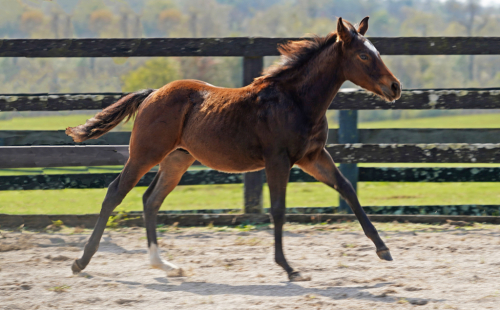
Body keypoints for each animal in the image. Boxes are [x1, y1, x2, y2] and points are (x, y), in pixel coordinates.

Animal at [66, 17, 402, 284]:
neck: (296, 101)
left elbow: (347, 189)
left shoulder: (312, 157)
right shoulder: (278, 160)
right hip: (145, 154)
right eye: (363, 55)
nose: (395, 87)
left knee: (151, 200)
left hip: (177, 159)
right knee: (115, 192)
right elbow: (278, 209)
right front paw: (289, 268)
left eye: (376, 52)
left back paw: (165, 265)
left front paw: (383, 249)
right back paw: (81, 261)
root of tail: (152, 94)